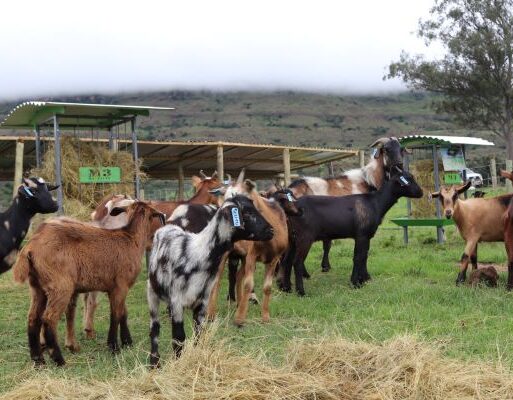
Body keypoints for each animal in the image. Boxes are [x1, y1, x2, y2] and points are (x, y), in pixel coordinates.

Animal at [12, 202, 164, 368]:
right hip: (60, 286)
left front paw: (127, 342)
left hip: (37, 287)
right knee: (49, 319)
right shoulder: (120, 285)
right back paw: (59, 360)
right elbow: (115, 315)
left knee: (33, 318)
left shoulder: (117, 288)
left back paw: (38, 360)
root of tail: (30, 247)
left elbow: (123, 313)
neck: (131, 239)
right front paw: (114, 347)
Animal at [146, 194, 274, 366]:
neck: (199, 253)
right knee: (154, 328)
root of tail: (166, 227)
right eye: (247, 213)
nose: (271, 230)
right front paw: (179, 364)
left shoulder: (202, 302)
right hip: (151, 292)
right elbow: (179, 338)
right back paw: (154, 362)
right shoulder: (177, 301)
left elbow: (199, 334)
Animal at [280, 170, 420, 296]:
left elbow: (364, 256)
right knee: (297, 262)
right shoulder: (361, 235)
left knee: (287, 261)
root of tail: (293, 207)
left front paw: (365, 279)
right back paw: (301, 292)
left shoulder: (366, 236)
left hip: (292, 238)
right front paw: (356, 282)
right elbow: (358, 257)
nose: (421, 192)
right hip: (304, 238)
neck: (376, 203)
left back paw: (286, 288)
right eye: (408, 180)